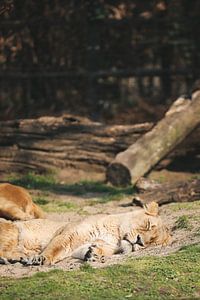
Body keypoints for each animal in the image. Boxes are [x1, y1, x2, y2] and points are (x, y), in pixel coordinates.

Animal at [0, 202, 170, 264]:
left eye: (151, 243)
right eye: (148, 225)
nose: (140, 241)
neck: (115, 236)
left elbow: (95, 250)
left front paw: (93, 254)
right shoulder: (68, 234)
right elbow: (55, 248)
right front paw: (42, 259)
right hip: (14, 229)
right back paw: (21, 257)